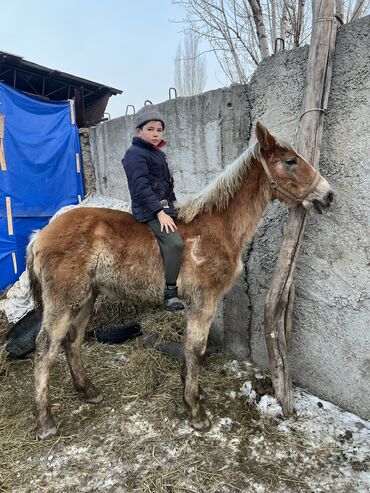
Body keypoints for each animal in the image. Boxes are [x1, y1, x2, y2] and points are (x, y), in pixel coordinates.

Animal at [26, 123, 332, 438]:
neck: (217, 227)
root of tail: (41, 234)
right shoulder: (203, 302)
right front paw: (196, 412)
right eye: (290, 161)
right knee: (45, 350)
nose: (328, 195)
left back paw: (88, 391)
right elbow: (196, 349)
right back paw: (45, 422)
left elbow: (189, 348)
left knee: (72, 341)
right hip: (63, 301)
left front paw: (191, 394)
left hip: (86, 298)